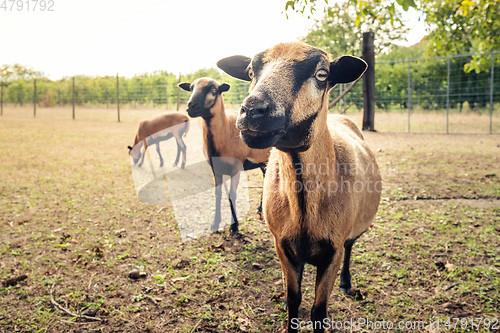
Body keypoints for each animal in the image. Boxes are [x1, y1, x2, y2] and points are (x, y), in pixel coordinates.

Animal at [176, 77, 270, 233]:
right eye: (191, 88)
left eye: (214, 90)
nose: (190, 106)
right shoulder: (215, 169)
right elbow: (218, 193)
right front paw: (215, 223)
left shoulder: (236, 168)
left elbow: (232, 194)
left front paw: (234, 226)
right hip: (263, 161)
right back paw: (259, 208)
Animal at [220, 42, 382, 330]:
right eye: (250, 72)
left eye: (322, 74)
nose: (252, 110)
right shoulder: (283, 246)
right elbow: (294, 298)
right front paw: (288, 306)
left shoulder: (332, 252)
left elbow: (319, 311)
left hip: (351, 232)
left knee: (351, 248)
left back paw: (346, 283)